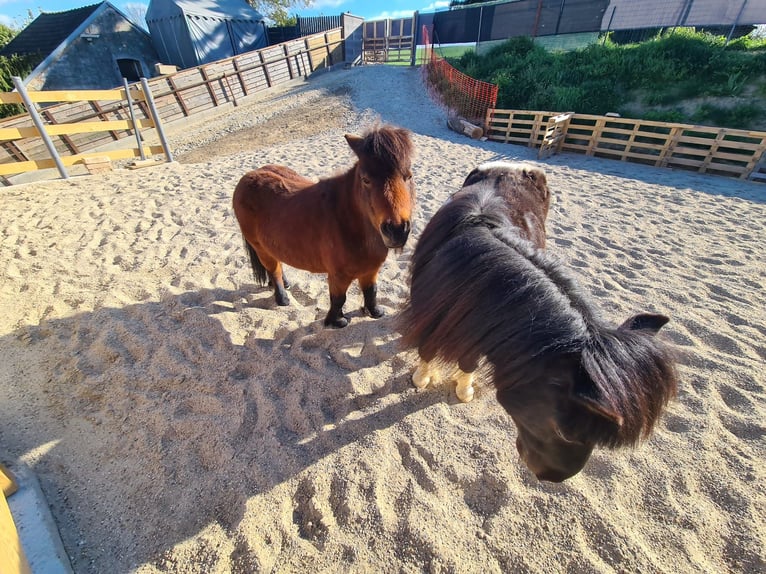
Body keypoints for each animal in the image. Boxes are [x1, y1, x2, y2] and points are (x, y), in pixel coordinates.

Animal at [233, 124, 415, 328]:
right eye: (366, 180)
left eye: (408, 176)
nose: (397, 231)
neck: (349, 223)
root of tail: (247, 177)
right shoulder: (338, 275)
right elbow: (339, 299)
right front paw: (336, 321)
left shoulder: (371, 269)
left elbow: (371, 291)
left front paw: (375, 312)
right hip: (259, 246)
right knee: (273, 269)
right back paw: (282, 298)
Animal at [398, 167, 678, 482]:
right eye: (566, 432)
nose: (554, 477)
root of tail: (512, 169)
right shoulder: (432, 314)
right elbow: (427, 349)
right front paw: (421, 379)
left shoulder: (479, 329)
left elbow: (468, 360)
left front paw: (464, 389)